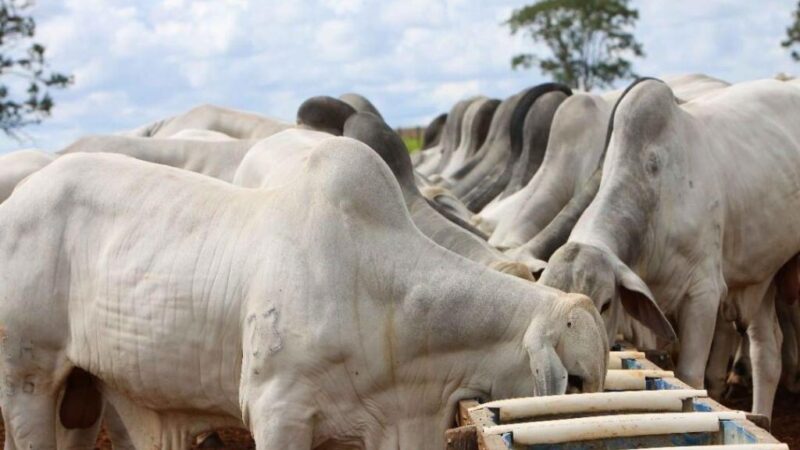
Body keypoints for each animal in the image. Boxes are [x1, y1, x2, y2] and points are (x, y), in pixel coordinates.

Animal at [536, 78, 800, 418]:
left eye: (605, 304)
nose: (574, 382)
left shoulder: (704, 292)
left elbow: (690, 376)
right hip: (761, 274)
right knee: (766, 352)